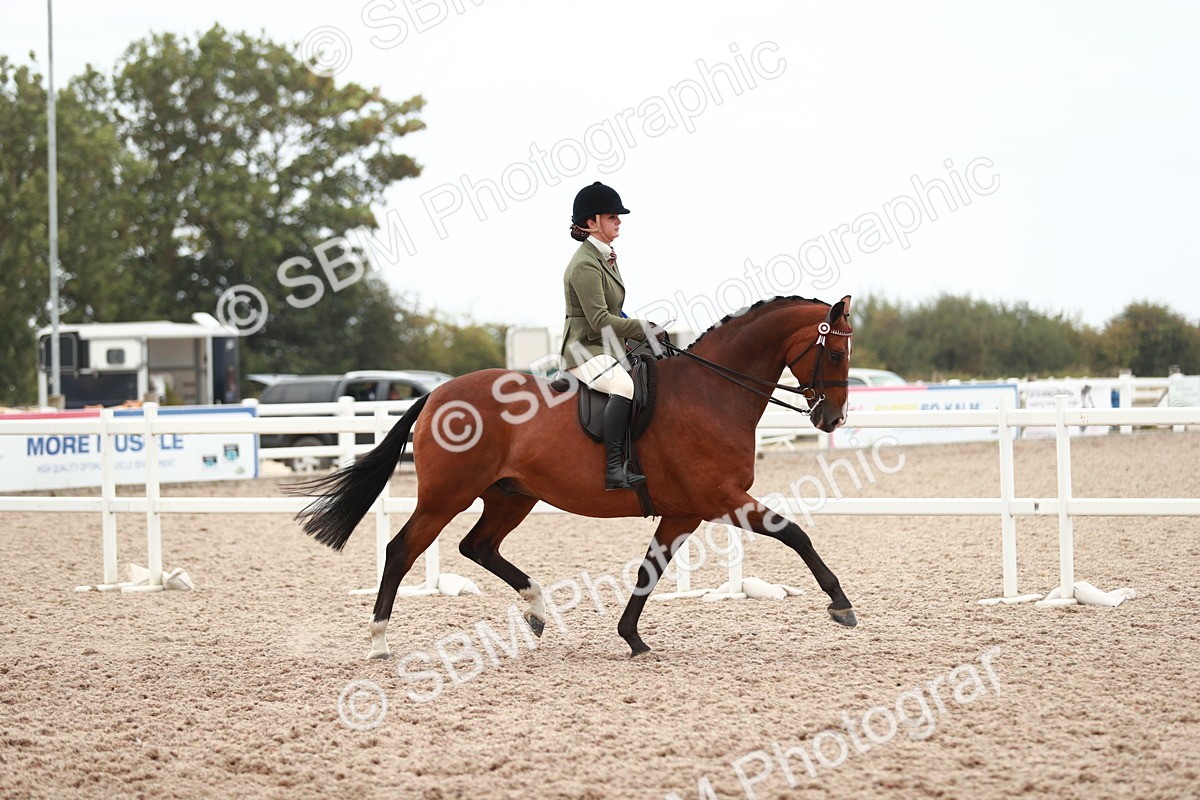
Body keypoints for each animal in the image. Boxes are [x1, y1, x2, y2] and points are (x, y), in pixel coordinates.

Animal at [291, 295, 857, 659]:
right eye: (834, 352)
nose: (832, 420)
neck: (713, 391)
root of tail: (435, 394)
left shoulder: (684, 512)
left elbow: (649, 570)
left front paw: (631, 637)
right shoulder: (720, 498)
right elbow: (796, 534)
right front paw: (841, 605)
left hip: (510, 496)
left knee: (478, 547)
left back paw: (537, 611)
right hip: (445, 496)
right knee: (402, 550)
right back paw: (379, 642)